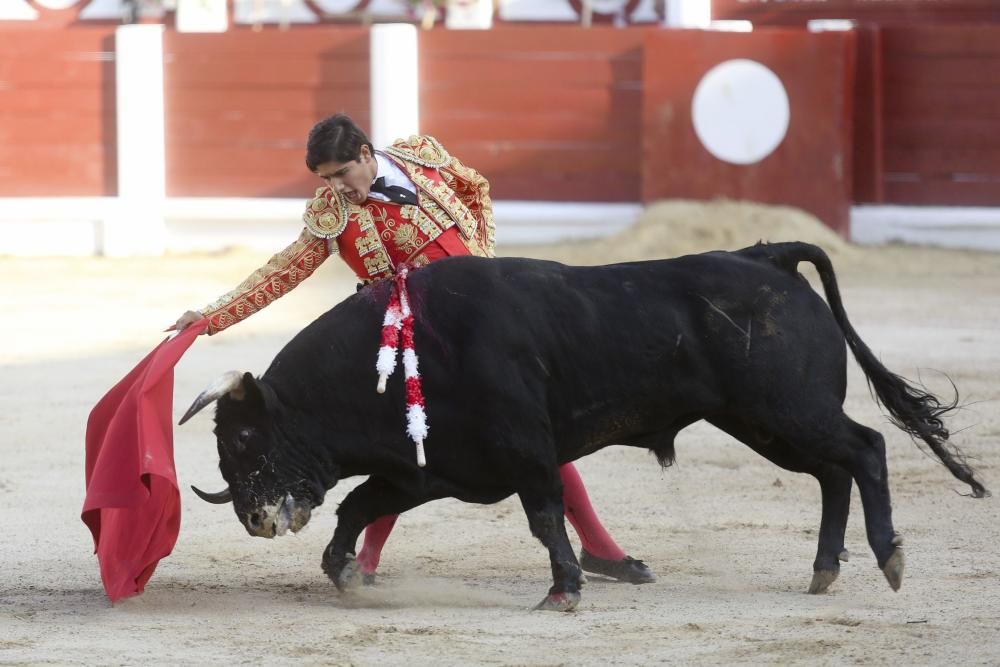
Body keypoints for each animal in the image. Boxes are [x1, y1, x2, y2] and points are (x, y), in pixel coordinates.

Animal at [178, 243, 984, 612]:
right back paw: (822, 570)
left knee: (864, 449)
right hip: (768, 421)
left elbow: (543, 515)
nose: (253, 517)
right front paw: (345, 571)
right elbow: (358, 505)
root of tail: (768, 256)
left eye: (244, 439)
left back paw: (887, 557)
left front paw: (562, 590)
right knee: (832, 471)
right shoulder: (432, 469)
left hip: (784, 409)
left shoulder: (523, 454)